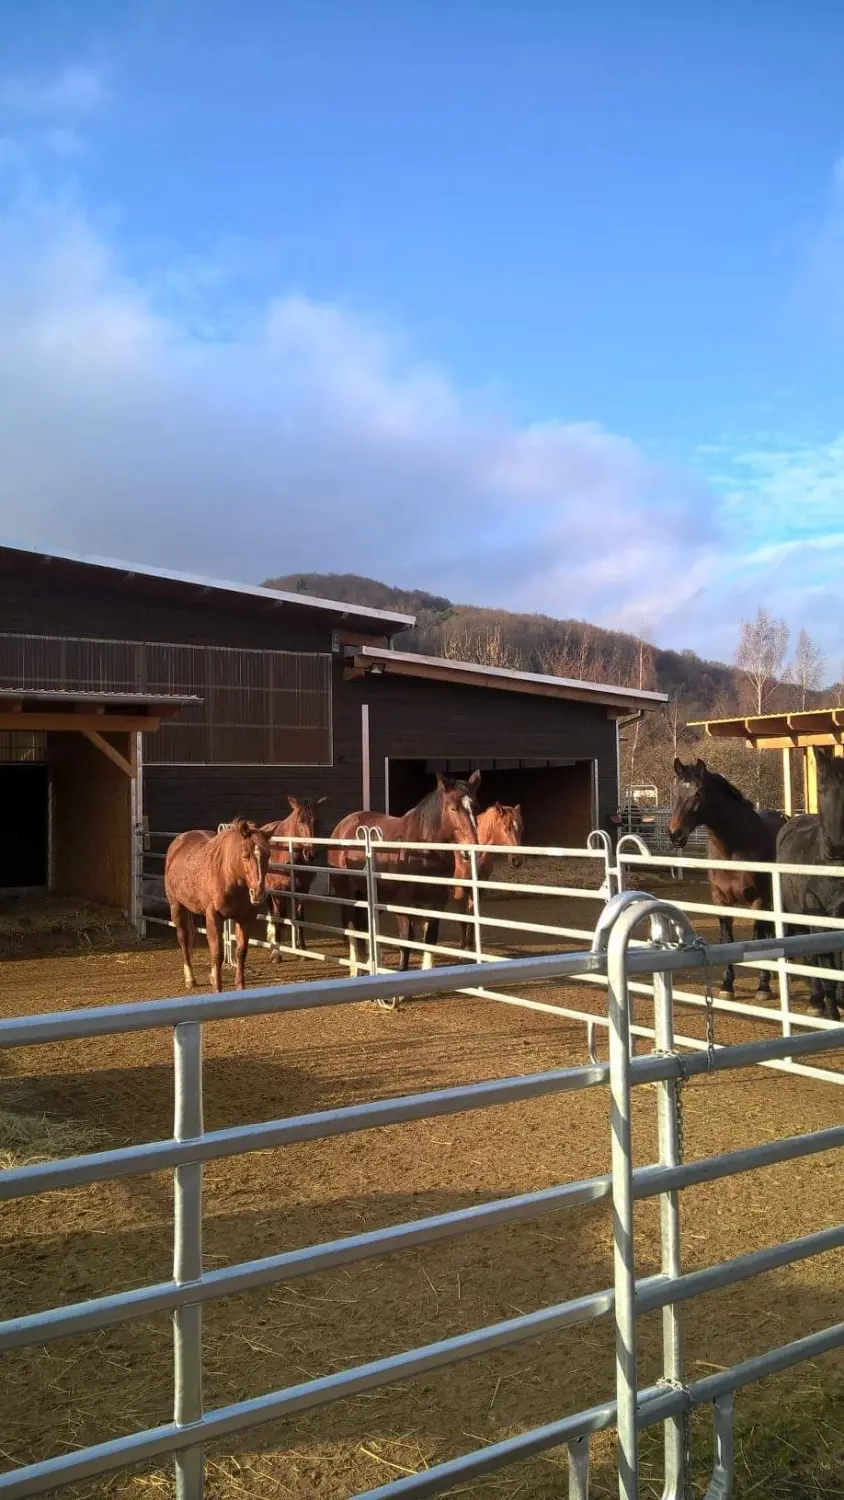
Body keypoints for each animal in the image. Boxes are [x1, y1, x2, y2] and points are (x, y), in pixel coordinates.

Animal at [164, 822, 271, 996]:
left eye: (268, 855)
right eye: (245, 856)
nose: (258, 893)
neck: (228, 875)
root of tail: (178, 842)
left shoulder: (245, 919)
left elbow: (241, 952)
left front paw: (240, 987)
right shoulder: (214, 917)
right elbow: (217, 954)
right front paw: (217, 989)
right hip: (177, 907)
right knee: (183, 938)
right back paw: (190, 978)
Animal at [263, 792, 326, 954]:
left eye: (317, 821)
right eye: (300, 821)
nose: (310, 854)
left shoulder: (302, 890)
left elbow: (299, 917)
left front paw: (302, 949)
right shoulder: (277, 890)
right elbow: (278, 916)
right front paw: (276, 952)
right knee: (273, 912)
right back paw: (272, 938)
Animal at [326, 774, 479, 984]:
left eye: (475, 807)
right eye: (453, 808)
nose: (471, 849)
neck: (422, 850)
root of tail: (343, 825)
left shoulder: (437, 902)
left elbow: (430, 939)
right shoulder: (402, 904)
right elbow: (406, 940)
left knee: (364, 926)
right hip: (347, 894)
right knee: (352, 929)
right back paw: (356, 969)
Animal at [671, 762, 791, 996]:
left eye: (698, 792)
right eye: (676, 791)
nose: (675, 833)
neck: (735, 848)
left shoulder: (758, 901)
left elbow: (756, 938)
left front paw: (763, 986)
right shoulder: (722, 902)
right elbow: (728, 939)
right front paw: (727, 985)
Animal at [773, 747, 844, 1020]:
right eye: (821, 788)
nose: (836, 846)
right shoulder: (820, 918)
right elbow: (829, 971)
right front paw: (833, 1014)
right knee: (812, 958)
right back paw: (817, 1002)